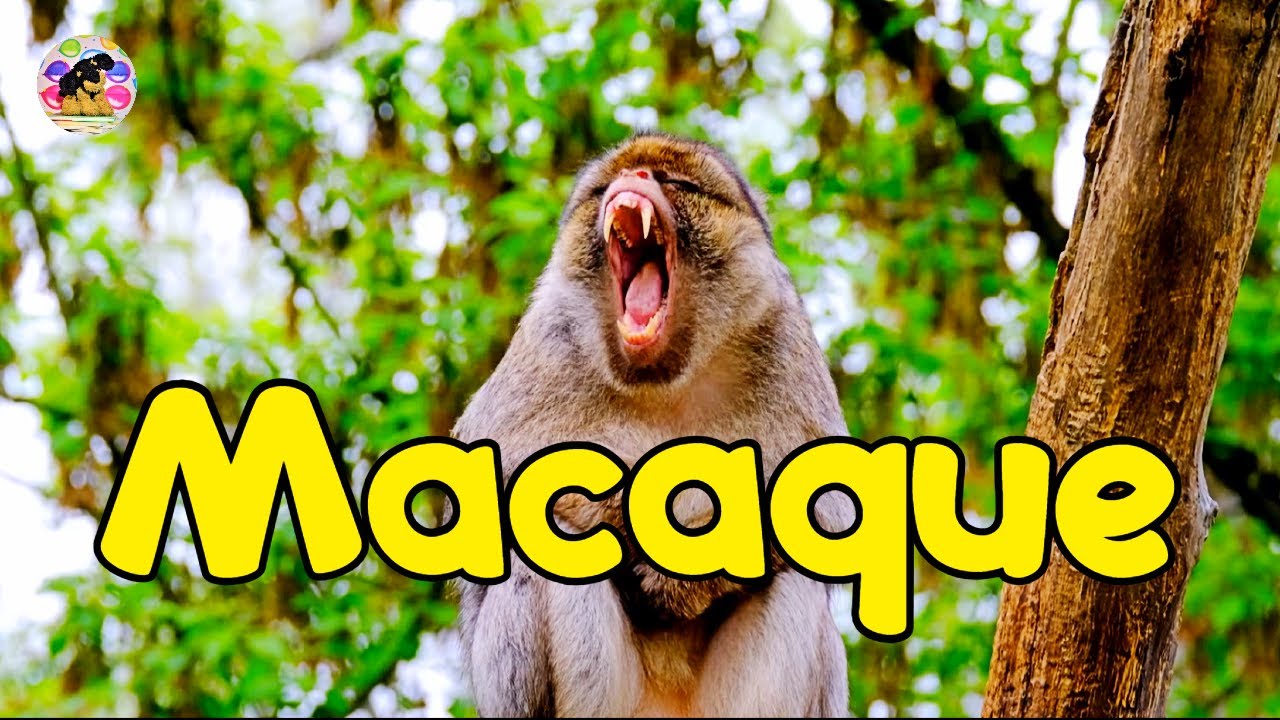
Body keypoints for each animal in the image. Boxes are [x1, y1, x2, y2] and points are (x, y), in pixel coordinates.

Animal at [452, 133, 854, 717]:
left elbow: (830, 515)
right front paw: (626, 522)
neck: (662, 379)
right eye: (607, 182)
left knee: (794, 581)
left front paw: (691, 568)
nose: (635, 176)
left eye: (677, 182)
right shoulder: (545, 344)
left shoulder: (784, 341)